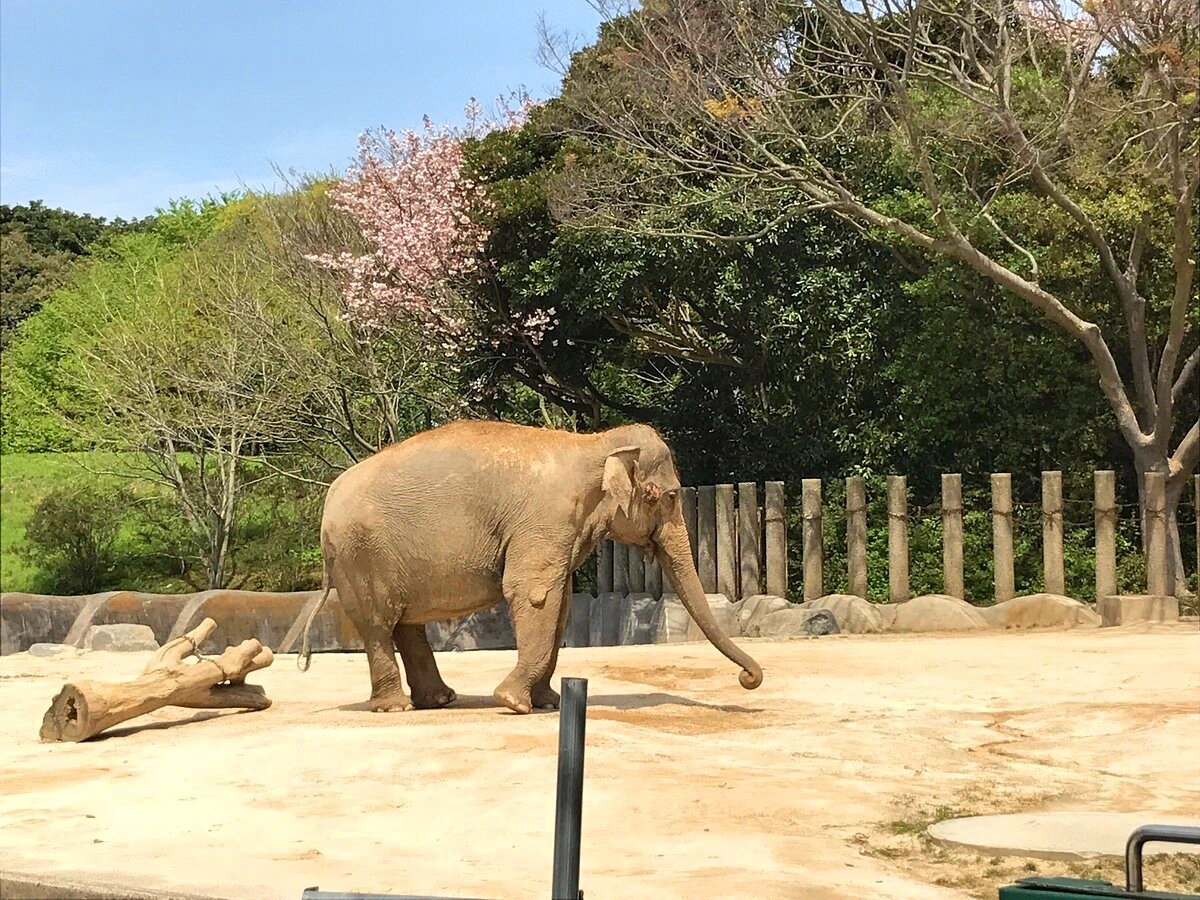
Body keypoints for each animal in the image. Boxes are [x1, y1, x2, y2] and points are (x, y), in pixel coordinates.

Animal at [300, 420, 763, 715]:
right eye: (669, 496)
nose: (749, 680)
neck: (594, 444)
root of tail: (329, 499)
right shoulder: (545, 520)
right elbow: (534, 594)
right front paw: (513, 703)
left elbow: (559, 606)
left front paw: (548, 703)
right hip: (360, 555)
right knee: (379, 624)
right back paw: (395, 708)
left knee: (405, 625)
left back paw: (440, 700)